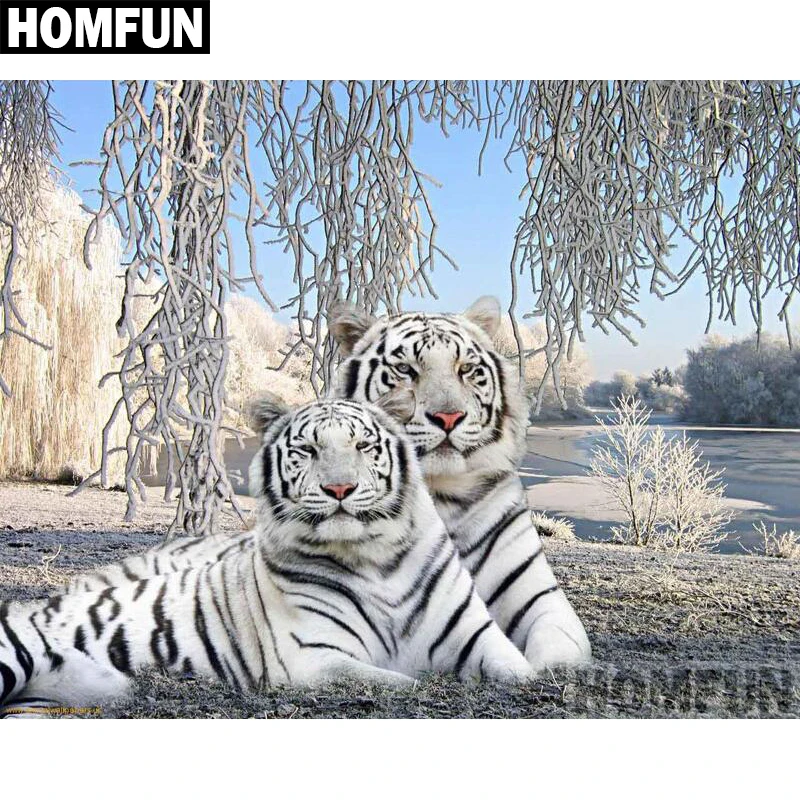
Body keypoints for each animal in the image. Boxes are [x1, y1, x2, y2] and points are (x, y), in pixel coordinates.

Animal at [0, 396, 533, 715]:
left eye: (363, 445)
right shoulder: (313, 659)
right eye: (307, 450)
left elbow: (522, 671)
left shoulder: (477, 637)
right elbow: (405, 681)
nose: (340, 489)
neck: (376, 559)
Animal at [329, 296, 592, 672]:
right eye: (405, 370)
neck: (442, 492)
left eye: (465, 369)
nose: (448, 417)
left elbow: (557, 645)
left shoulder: (538, 594)